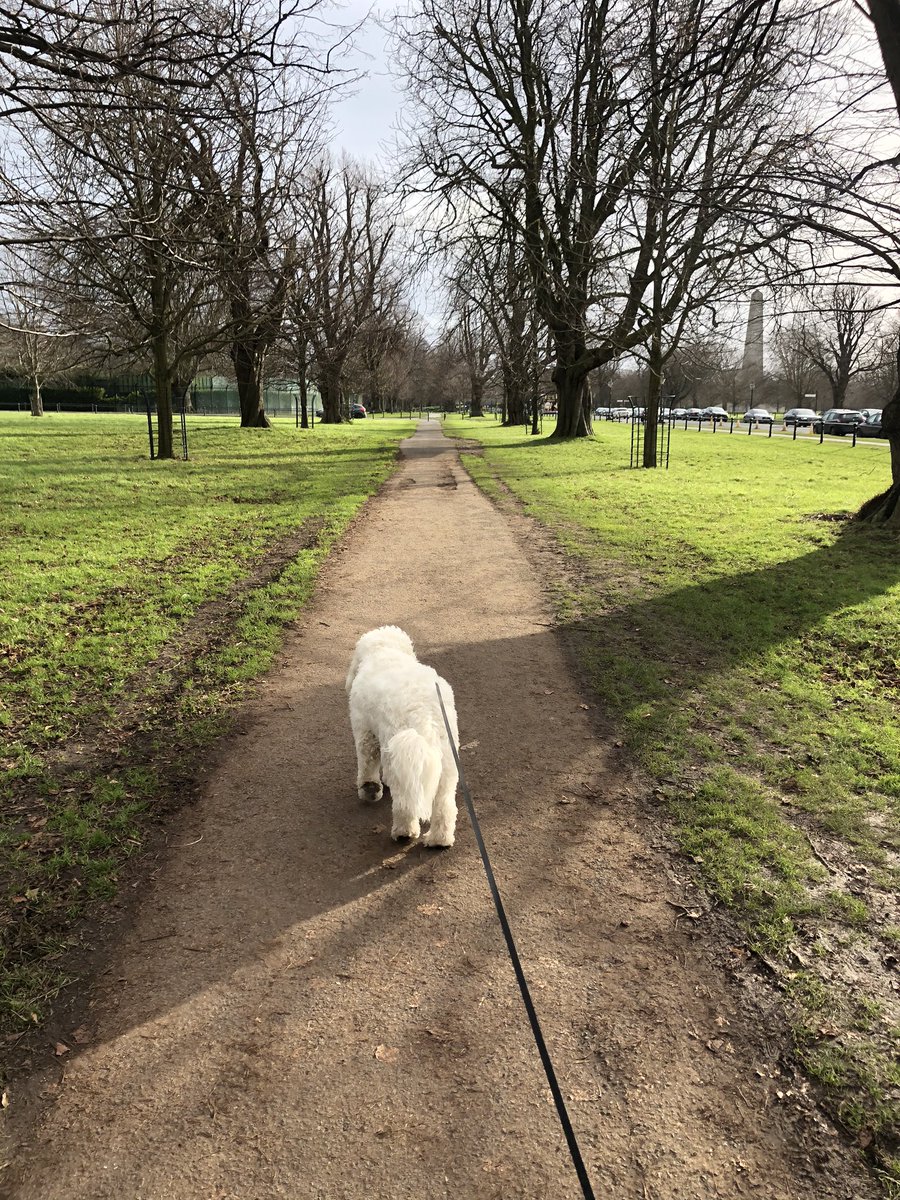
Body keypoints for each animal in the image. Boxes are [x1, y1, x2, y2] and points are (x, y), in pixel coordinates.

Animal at [346, 626, 459, 847]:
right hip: (446, 760)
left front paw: (369, 787)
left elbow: (367, 763)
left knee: (404, 802)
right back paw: (439, 840)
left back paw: (404, 833)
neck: (384, 651)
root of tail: (424, 713)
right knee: (444, 805)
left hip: (399, 754)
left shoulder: (365, 732)